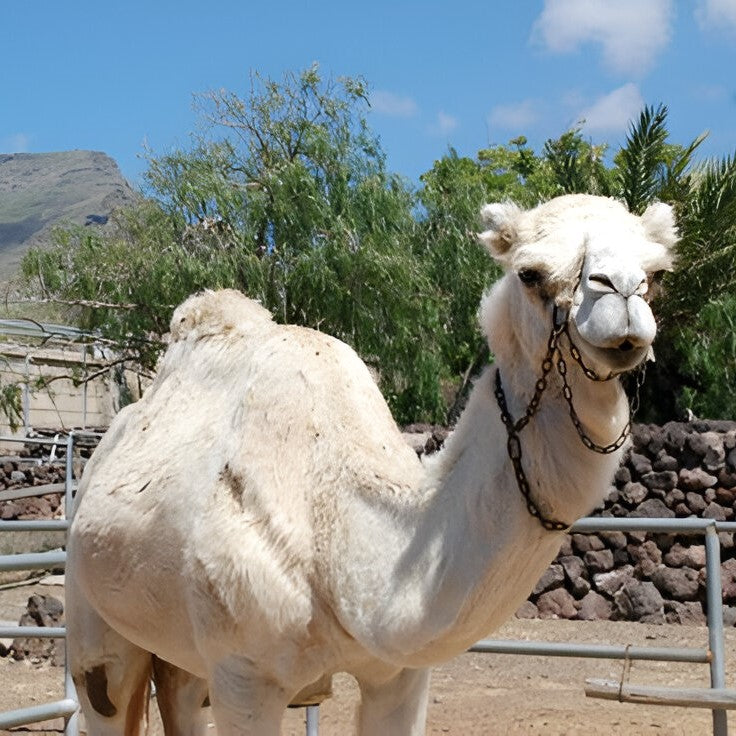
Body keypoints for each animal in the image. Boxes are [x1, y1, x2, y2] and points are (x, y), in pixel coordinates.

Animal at [66, 193, 676, 732]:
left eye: (657, 272)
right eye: (529, 273)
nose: (621, 297)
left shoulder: (400, 675)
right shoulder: (244, 673)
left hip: (180, 648)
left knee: (179, 693)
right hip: (91, 610)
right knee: (106, 691)